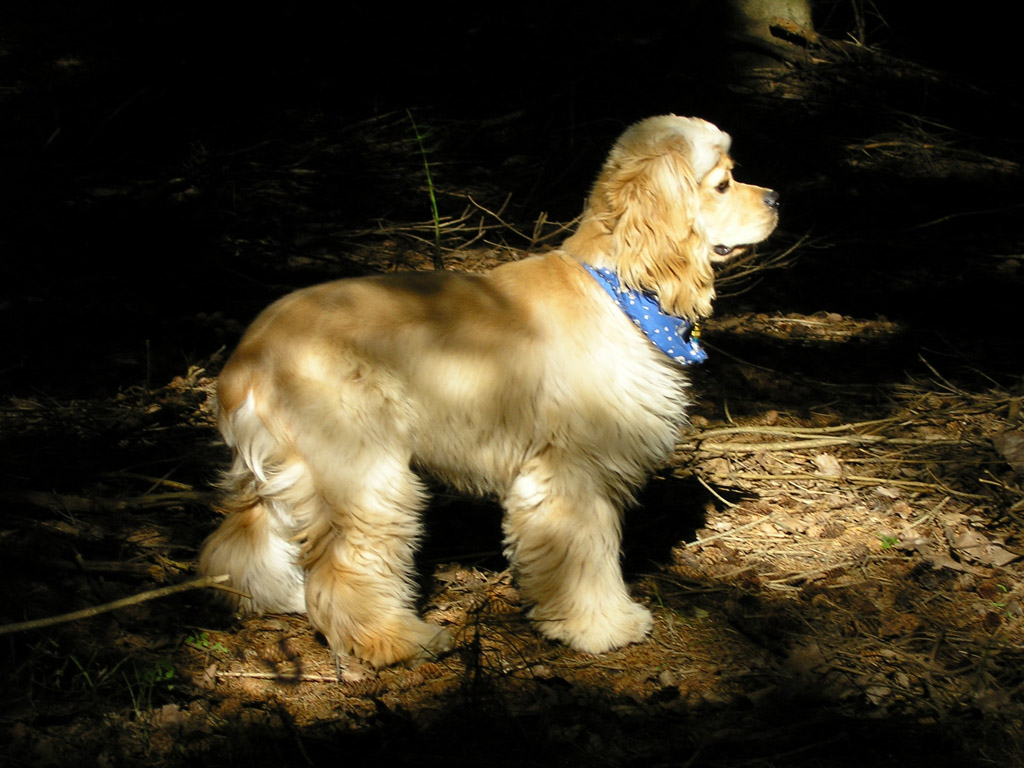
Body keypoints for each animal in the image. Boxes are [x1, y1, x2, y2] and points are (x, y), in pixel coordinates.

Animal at [197, 114, 774, 667]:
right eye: (723, 183)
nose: (776, 199)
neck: (618, 287)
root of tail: (246, 360)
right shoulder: (572, 472)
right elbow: (585, 555)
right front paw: (601, 627)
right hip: (361, 469)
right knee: (343, 568)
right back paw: (395, 640)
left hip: (295, 467)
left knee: (243, 537)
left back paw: (270, 597)